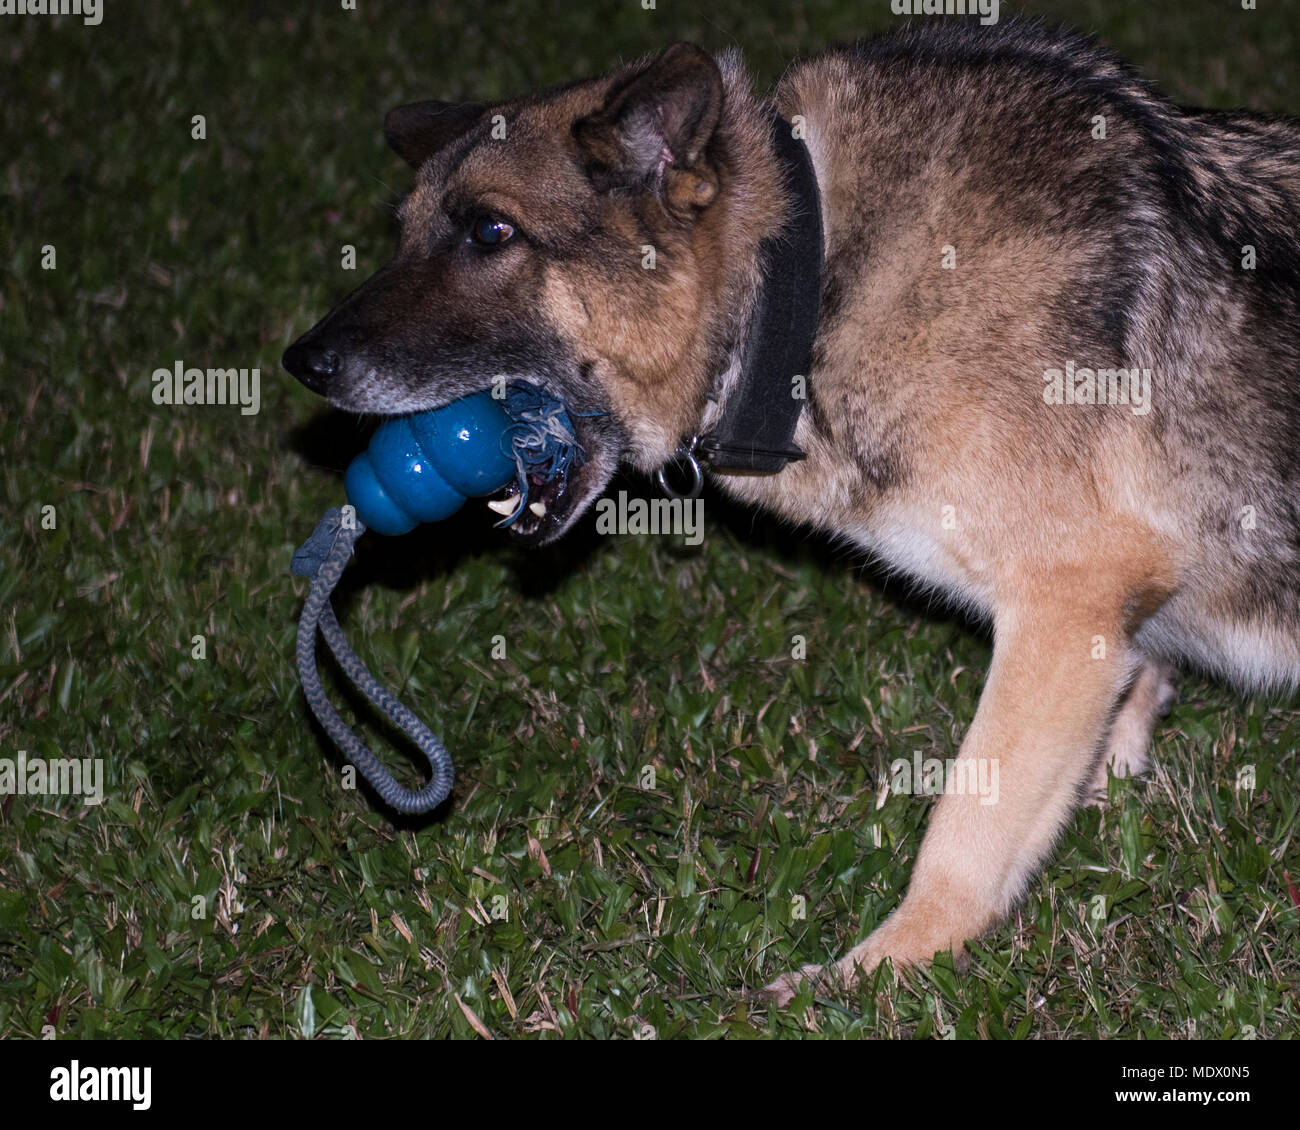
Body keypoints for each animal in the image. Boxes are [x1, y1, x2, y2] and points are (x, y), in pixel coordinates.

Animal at [284, 17, 1300, 998]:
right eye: (407, 231)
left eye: (491, 233)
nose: (304, 363)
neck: (808, 284)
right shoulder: (1109, 618)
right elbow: (1128, 696)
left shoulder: (1069, 601)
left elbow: (965, 829)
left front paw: (882, 974)